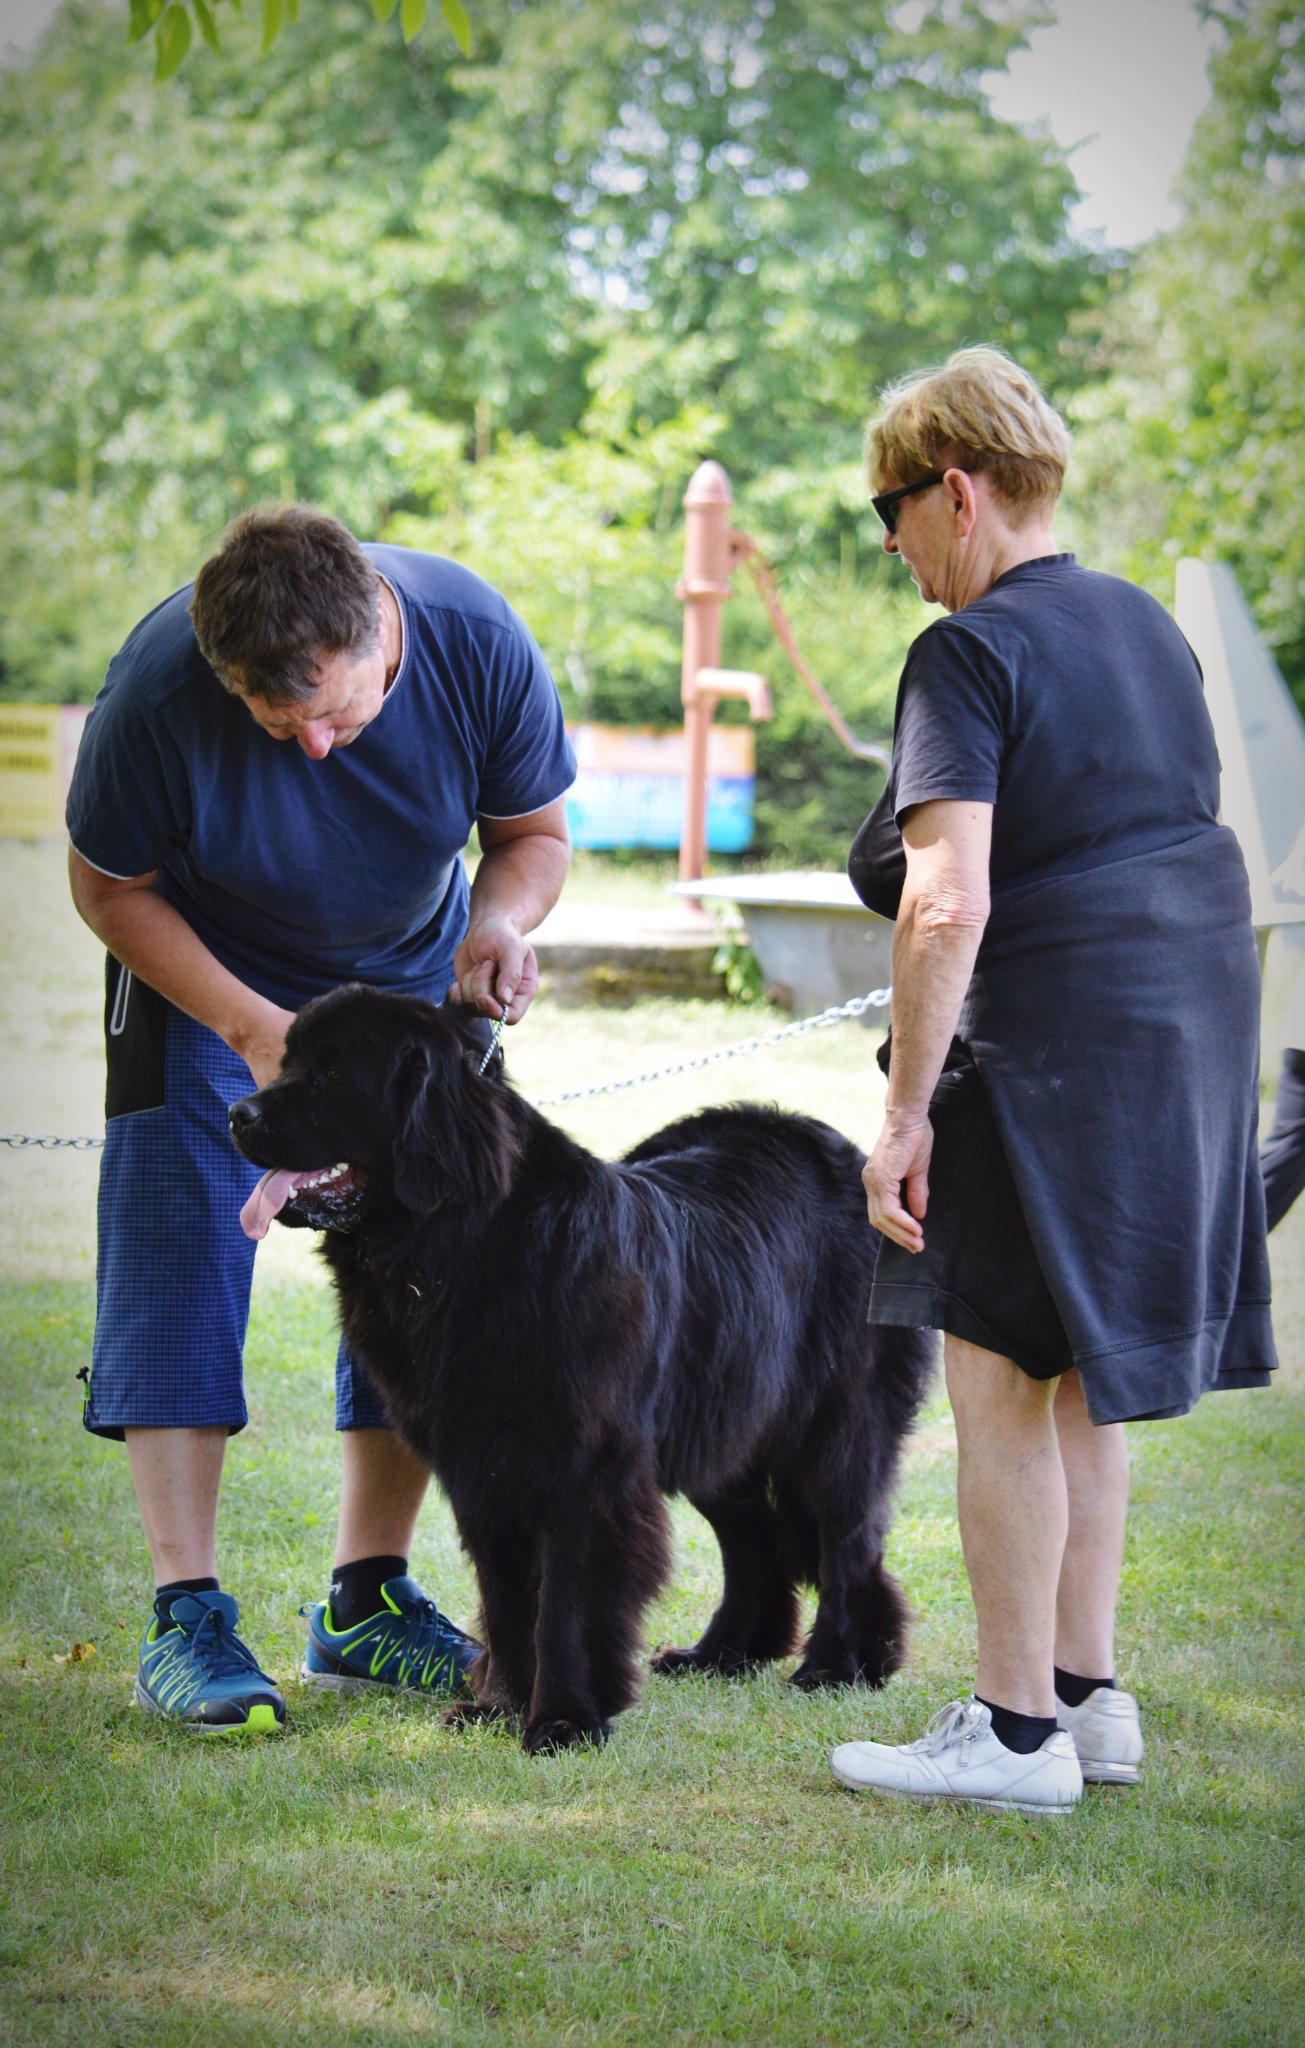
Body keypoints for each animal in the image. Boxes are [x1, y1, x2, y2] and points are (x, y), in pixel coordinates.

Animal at [230, 985, 934, 1753]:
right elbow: (507, 1601)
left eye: (333, 1075)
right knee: (756, 1542)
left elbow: (564, 1604)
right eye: (287, 1064)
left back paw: (831, 1666)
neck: (463, 1245)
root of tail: (846, 1155)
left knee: (845, 1537)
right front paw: (499, 1707)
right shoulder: (480, 1469)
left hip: (835, 1426)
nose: (238, 1113)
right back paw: (724, 1654)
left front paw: (563, 1719)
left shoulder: (584, 1471)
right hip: (718, 1424)